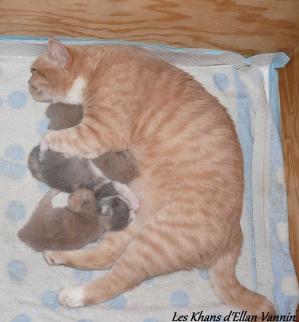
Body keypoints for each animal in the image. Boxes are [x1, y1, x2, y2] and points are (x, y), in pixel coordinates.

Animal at [28, 39, 276, 316]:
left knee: (117, 281)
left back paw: (74, 294)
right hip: (137, 222)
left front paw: (45, 145)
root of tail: (235, 236)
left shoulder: (101, 131)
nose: (27, 83)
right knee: (104, 257)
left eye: (34, 70)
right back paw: (57, 255)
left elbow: (58, 137)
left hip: (156, 242)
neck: (98, 66)